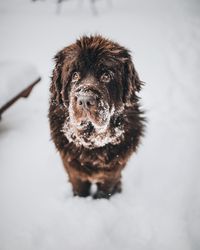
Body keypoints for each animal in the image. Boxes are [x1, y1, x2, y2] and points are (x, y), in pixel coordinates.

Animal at [48, 35, 145, 199]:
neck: (92, 143)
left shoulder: (111, 173)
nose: (85, 99)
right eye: (74, 75)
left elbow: (105, 191)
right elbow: (80, 190)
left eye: (106, 76)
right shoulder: (74, 172)